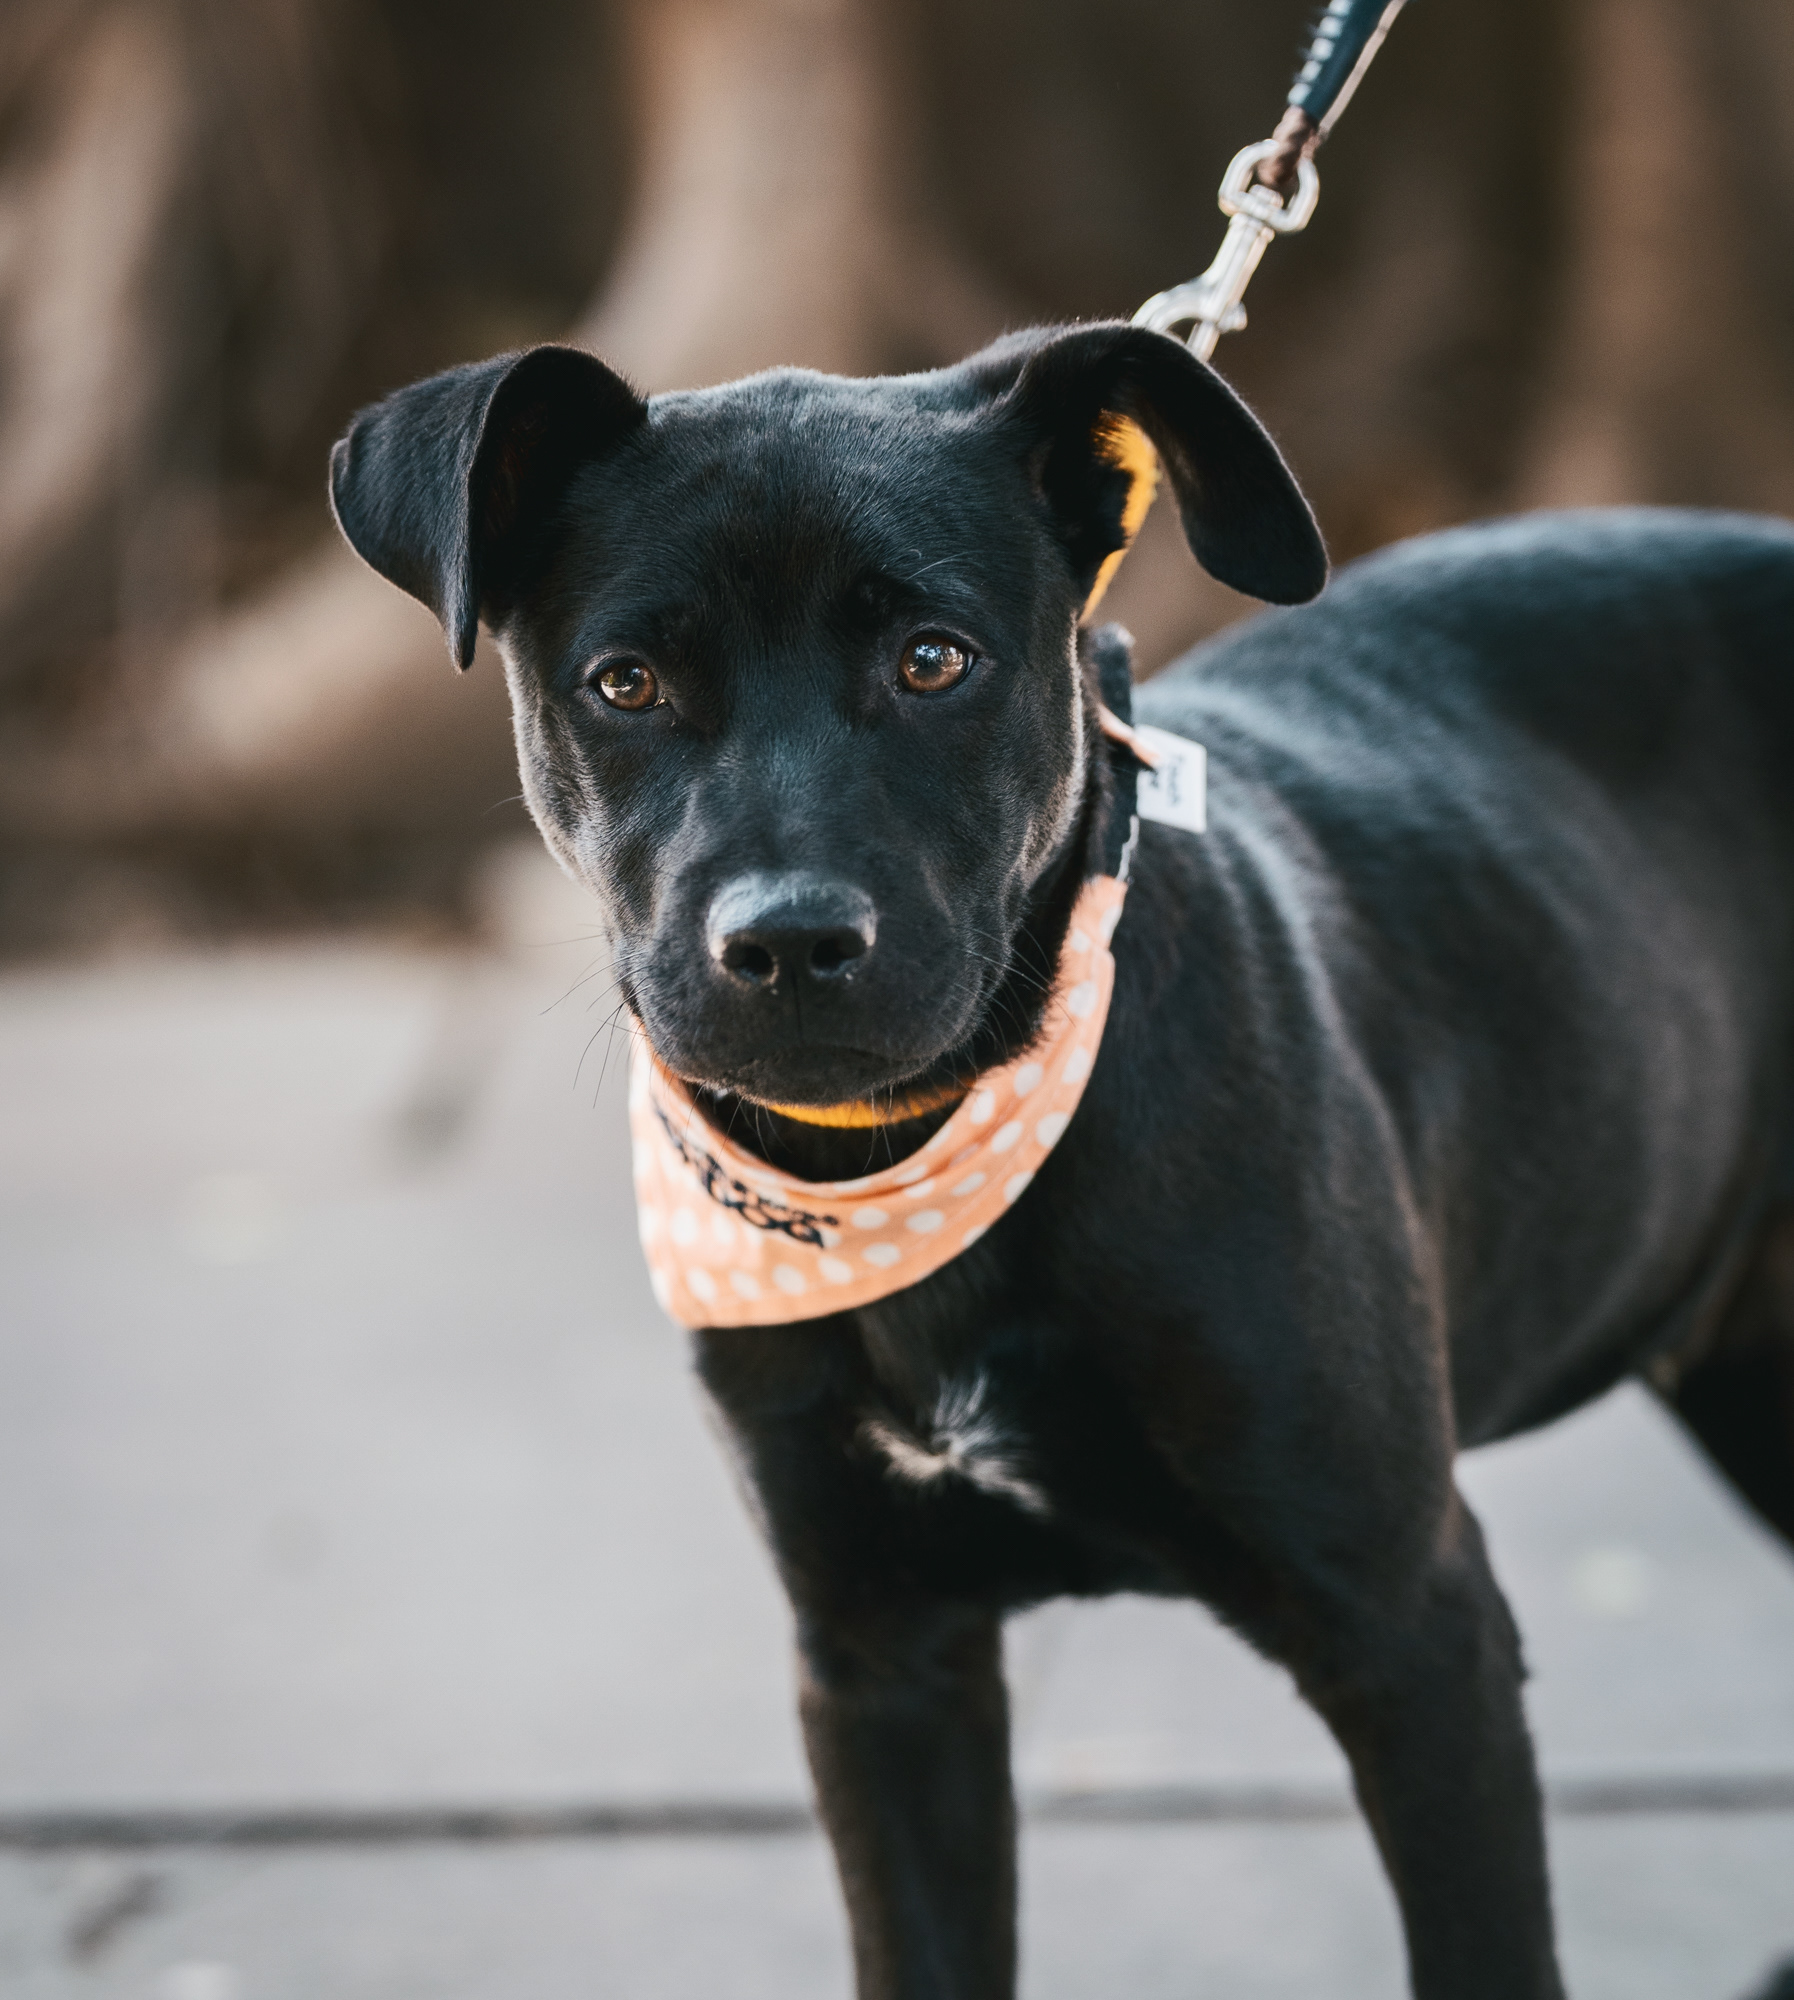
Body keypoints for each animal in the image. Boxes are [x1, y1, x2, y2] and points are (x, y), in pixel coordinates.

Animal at [329, 323, 1794, 1999]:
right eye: (624, 683)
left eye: (933, 660)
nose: (786, 943)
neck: (903, 1174)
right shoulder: (881, 1660)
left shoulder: (1411, 1630)